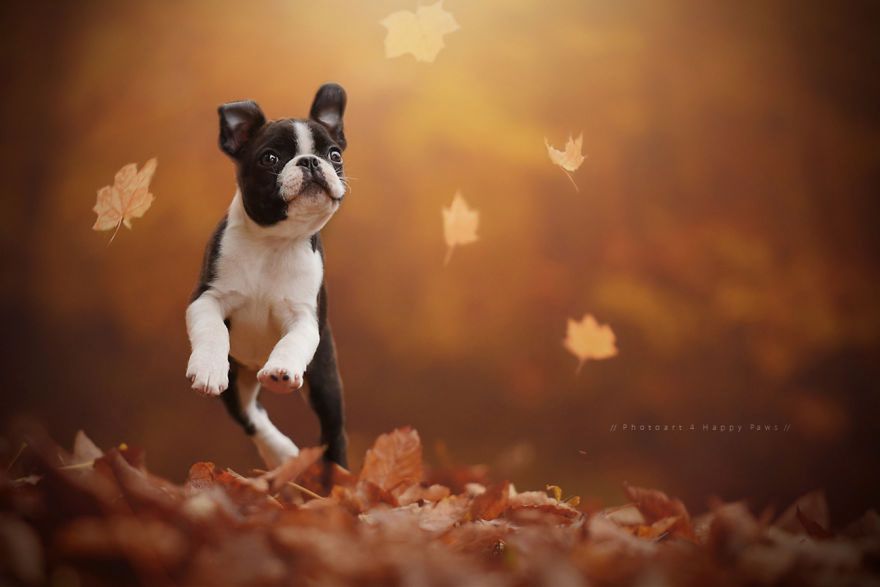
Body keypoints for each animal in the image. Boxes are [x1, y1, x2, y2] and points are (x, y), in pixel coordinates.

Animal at [186, 82, 350, 468]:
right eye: (270, 158)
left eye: (334, 154)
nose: (310, 161)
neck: (274, 242)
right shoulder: (206, 298)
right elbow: (212, 330)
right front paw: (207, 366)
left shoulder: (306, 316)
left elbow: (294, 341)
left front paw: (282, 369)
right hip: (237, 379)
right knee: (250, 414)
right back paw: (282, 454)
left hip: (324, 377)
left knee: (332, 431)